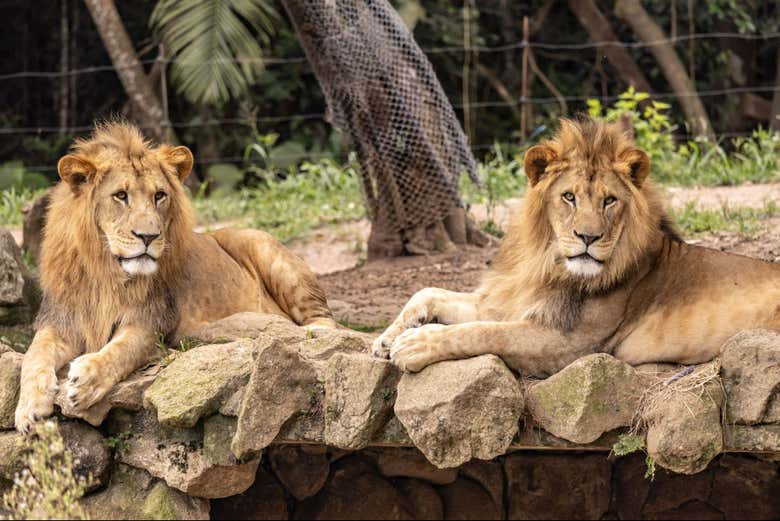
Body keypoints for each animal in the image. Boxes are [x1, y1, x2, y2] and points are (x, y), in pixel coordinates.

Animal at [15, 122, 339, 432]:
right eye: (121, 196)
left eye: (159, 195)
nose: (149, 236)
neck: (105, 272)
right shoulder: (59, 322)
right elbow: (33, 356)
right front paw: (29, 409)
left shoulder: (153, 323)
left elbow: (120, 351)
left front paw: (85, 381)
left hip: (266, 250)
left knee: (326, 321)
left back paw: (311, 332)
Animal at [373, 117, 780, 375]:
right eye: (568, 197)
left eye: (609, 201)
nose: (588, 237)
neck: (547, 264)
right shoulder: (511, 301)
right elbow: (429, 291)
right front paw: (387, 338)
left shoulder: (567, 345)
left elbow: (482, 332)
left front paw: (414, 344)